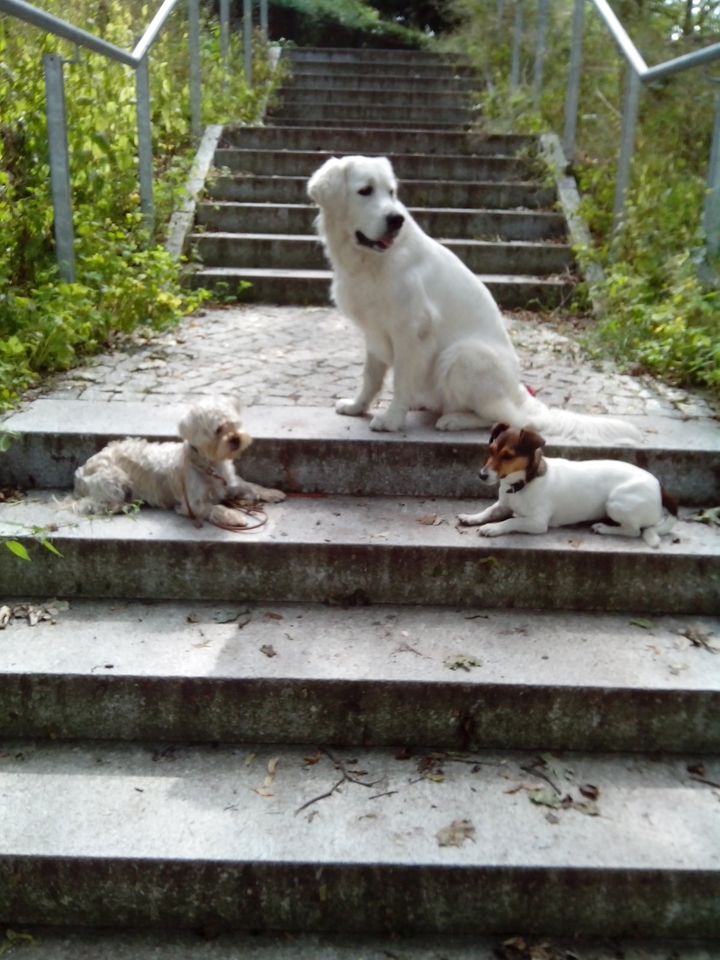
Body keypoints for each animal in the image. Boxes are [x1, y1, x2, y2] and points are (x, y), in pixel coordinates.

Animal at [73, 400, 286, 528]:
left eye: (234, 424)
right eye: (218, 430)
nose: (235, 439)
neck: (209, 466)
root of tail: (81, 474)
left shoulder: (228, 483)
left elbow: (250, 485)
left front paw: (271, 493)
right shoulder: (191, 504)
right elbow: (214, 508)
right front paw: (234, 516)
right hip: (114, 479)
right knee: (95, 505)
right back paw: (123, 505)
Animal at [306, 156, 640, 444]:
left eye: (391, 192)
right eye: (365, 191)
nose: (395, 219)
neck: (369, 261)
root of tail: (519, 392)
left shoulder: (411, 331)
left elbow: (400, 380)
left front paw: (391, 419)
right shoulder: (374, 332)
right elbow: (371, 377)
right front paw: (357, 406)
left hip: (463, 355)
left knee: (514, 419)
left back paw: (454, 420)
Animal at [458, 422, 676, 548]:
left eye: (508, 456)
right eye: (491, 450)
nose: (481, 475)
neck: (523, 483)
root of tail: (659, 486)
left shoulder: (537, 523)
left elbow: (511, 522)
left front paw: (492, 528)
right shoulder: (503, 504)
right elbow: (488, 511)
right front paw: (471, 517)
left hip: (616, 502)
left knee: (634, 531)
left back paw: (604, 528)